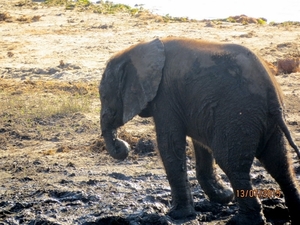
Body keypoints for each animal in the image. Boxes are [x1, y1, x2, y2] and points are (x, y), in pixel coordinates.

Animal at [99, 37, 300, 224]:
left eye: (104, 97)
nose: (123, 146)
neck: (140, 48)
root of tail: (271, 91)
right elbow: (201, 145)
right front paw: (224, 197)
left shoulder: (165, 97)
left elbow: (169, 146)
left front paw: (178, 215)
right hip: (265, 121)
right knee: (279, 164)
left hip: (240, 115)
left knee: (233, 164)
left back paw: (242, 221)